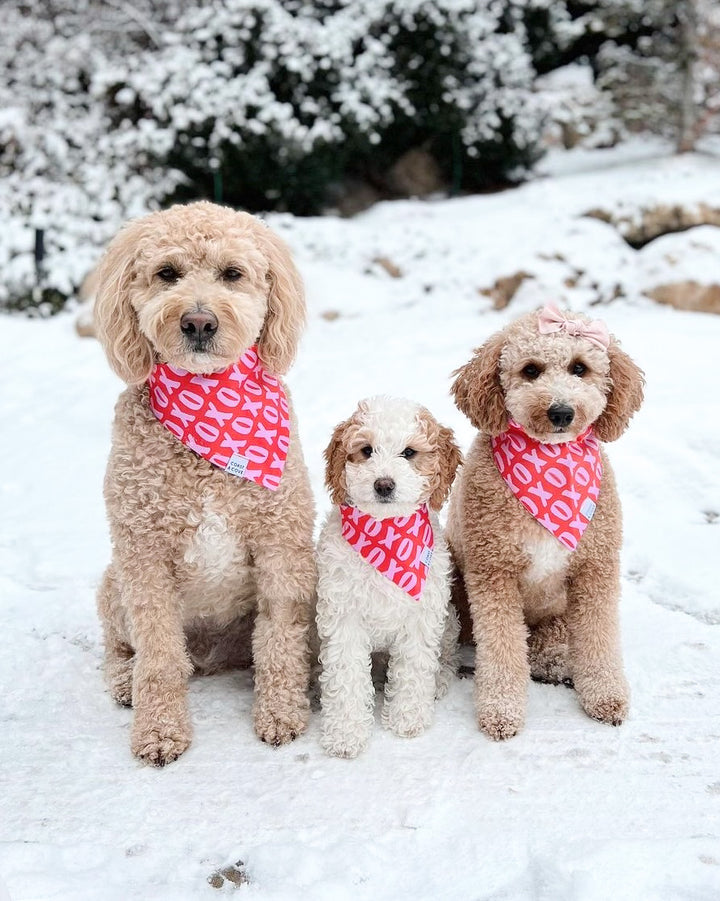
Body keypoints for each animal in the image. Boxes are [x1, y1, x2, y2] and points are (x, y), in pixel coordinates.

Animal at [318, 398, 464, 756]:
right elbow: (346, 675)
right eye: (366, 450)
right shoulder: (344, 617)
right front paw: (345, 735)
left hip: (449, 619)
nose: (384, 484)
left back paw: (438, 681)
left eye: (409, 452)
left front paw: (407, 719)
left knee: (447, 655)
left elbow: (413, 668)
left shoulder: (421, 617)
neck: (386, 534)